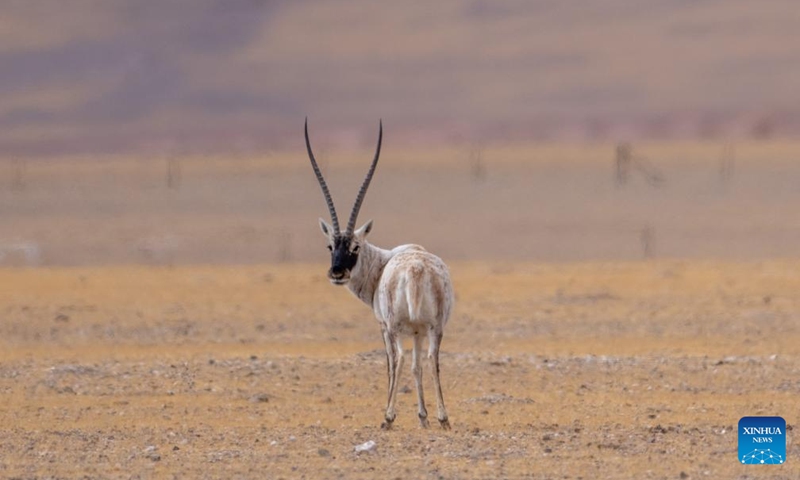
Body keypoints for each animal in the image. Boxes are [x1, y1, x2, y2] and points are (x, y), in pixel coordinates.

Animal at [304, 119, 454, 430]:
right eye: (330, 245)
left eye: (355, 246)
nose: (337, 272)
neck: (381, 263)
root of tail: (416, 269)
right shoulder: (418, 332)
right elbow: (417, 367)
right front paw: (423, 417)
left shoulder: (383, 327)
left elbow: (391, 365)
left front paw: (392, 414)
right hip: (436, 327)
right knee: (431, 359)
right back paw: (444, 419)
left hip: (395, 327)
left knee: (397, 360)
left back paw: (388, 418)